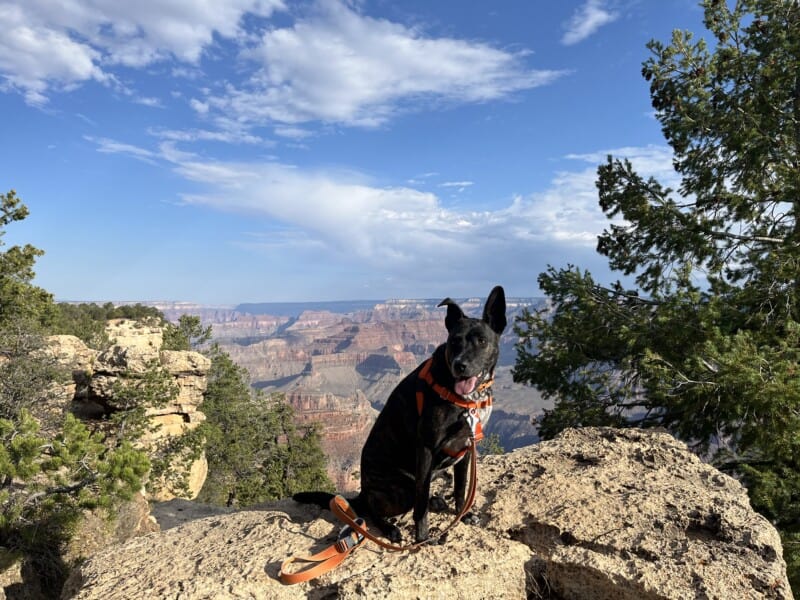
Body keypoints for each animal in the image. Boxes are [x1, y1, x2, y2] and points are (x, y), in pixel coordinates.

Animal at [294, 286, 506, 544]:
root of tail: (364, 490)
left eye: (482, 341)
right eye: (454, 341)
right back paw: (389, 528)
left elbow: (460, 488)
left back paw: (436, 501)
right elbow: (421, 503)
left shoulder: (465, 447)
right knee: (373, 509)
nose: (460, 365)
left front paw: (463, 515)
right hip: (401, 488)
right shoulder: (426, 447)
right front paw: (423, 538)